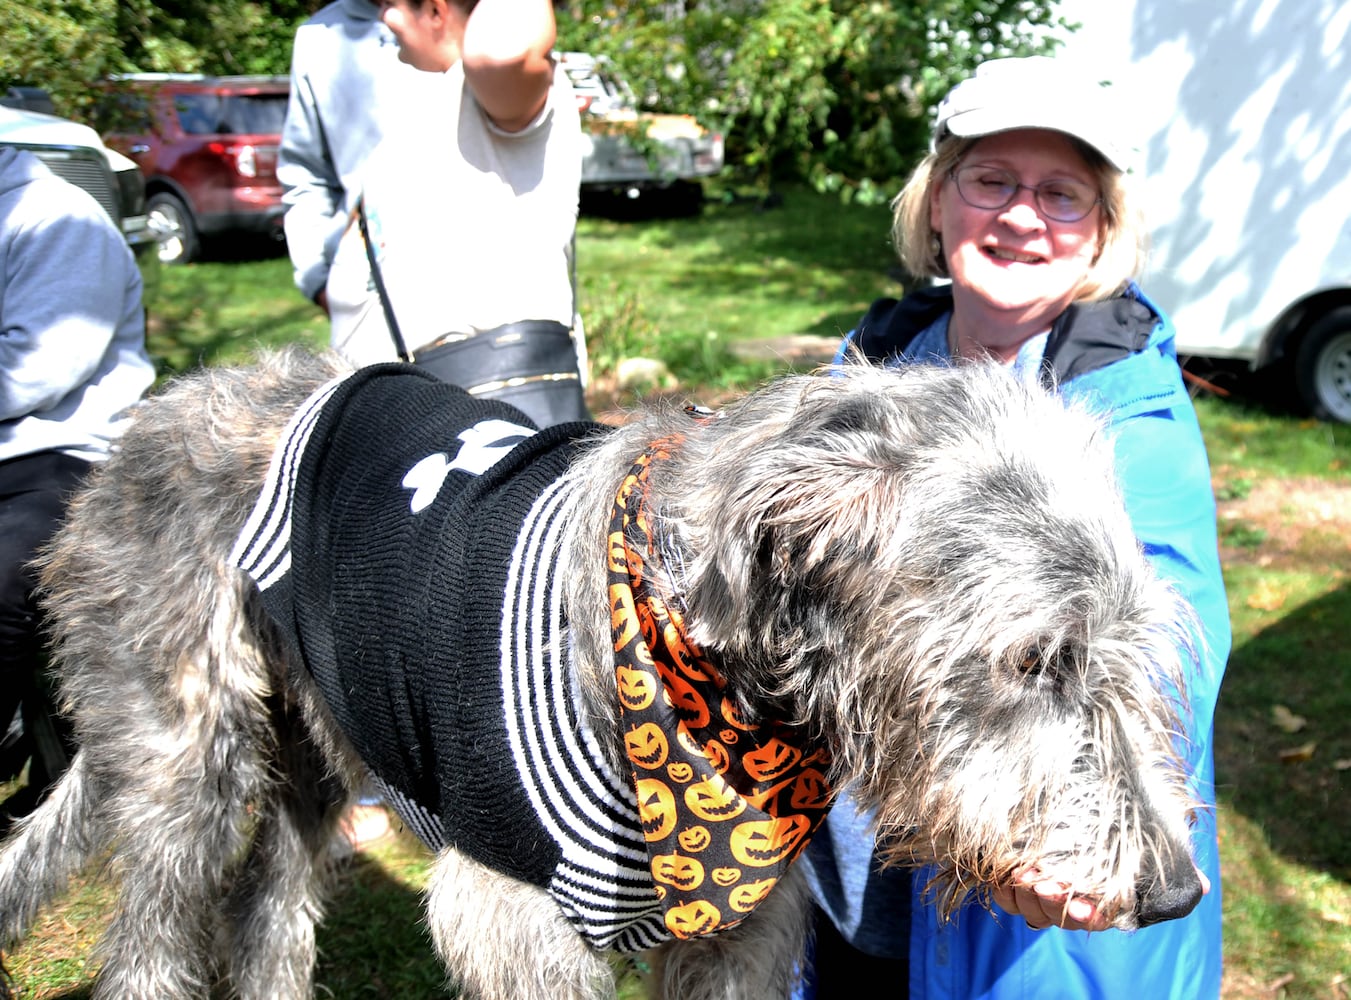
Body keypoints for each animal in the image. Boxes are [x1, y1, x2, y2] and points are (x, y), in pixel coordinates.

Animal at [0, 348, 1199, 994]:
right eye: (1034, 658)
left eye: (1131, 644)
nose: (1174, 892)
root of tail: (145, 420)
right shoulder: (514, 921)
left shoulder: (740, 932)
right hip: (184, 758)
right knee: (153, 936)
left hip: (313, 751)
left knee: (267, 912)